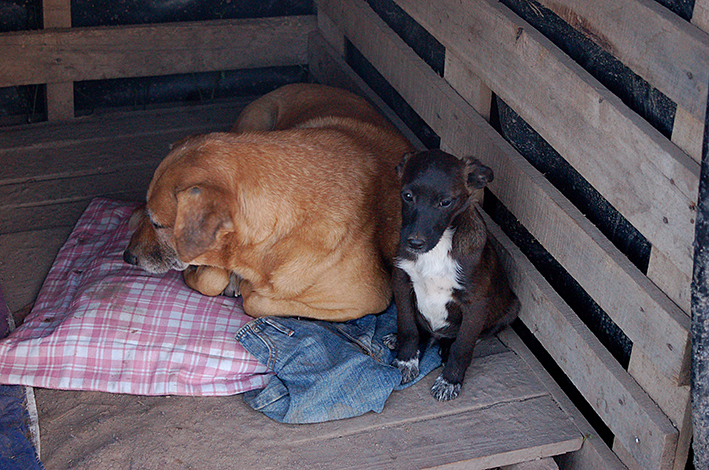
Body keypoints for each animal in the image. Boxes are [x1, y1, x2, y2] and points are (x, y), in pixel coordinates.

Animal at [119, 82, 412, 322]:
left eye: (158, 224)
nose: (127, 257)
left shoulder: (366, 300)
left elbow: (255, 302)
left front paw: (243, 284)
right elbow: (212, 279)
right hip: (255, 119)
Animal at [390, 150, 516, 400]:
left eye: (445, 202)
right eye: (407, 196)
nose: (415, 243)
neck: (438, 248)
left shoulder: (476, 303)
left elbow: (463, 346)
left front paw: (449, 381)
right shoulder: (401, 280)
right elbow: (407, 326)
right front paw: (406, 361)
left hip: (509, 311)